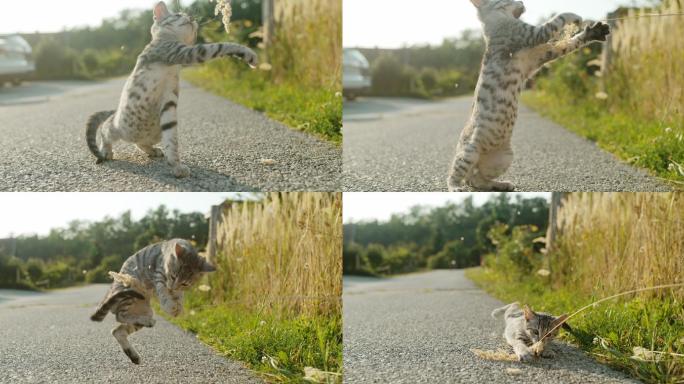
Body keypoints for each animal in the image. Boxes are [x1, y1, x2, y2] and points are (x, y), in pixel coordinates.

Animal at [85, 1, 256, 178]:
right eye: (178, 15)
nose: (192, 17)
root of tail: (116, 113)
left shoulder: (169, 102)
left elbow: (172, 141)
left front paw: (176, 166)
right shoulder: (182, 52)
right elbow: (218, 46)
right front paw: (247, 53)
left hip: (154, 133)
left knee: (139, 143)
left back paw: (152, 150)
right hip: (119, 127)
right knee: (105, 129)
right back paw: (106, 150)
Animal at [446, 0, 612, 192]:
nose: (523, 2)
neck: (495, 21)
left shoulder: (542, 54)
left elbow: (570, 43)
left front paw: (594, 31)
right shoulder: (533, 34)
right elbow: (558, 19)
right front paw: (575, 17)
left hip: (504, 158)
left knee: (477, 179)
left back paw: (502, 184)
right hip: (469, 152)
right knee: (457, 175)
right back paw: (456, 187)